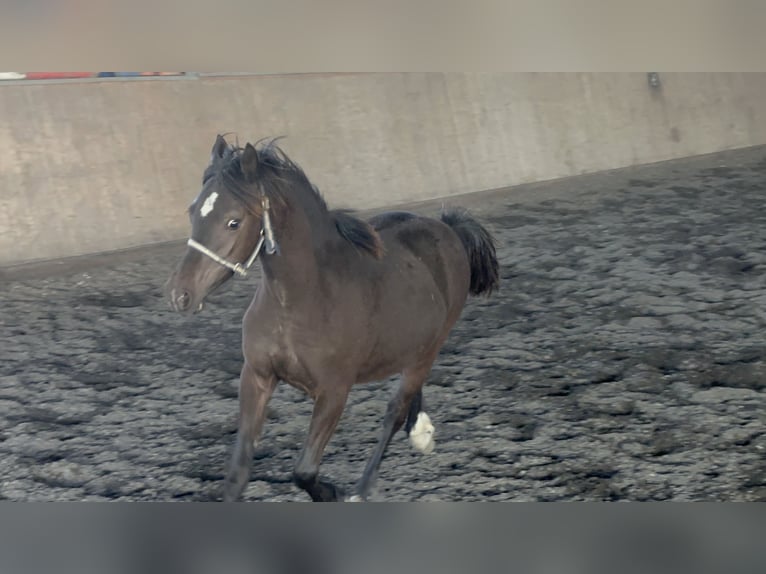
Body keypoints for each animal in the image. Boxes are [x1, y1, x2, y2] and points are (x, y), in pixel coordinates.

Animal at [166, 136, 500, 504]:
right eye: (193, 211)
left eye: (233, 221)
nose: (180, 295)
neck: (300, 301)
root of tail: (448, 228)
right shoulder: (256, 376)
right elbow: (238, 472)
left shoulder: (334, 391)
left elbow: (304, 471)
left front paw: (333, 493)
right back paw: (421, 432)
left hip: (430, 348)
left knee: (395, 411)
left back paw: (365, 486)